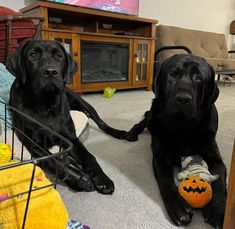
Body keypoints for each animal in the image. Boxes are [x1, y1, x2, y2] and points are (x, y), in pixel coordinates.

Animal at [6, 40, 129, 194]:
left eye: (59, 56)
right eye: (33, 55)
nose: (51, 72)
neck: (45, 103)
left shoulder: (71, 137)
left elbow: (89, 157)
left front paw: (102, 178)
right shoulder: (33, 142)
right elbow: (54, 161)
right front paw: (81, 179)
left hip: (83, 103)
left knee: (102, 123)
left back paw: (121, 133)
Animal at [127, 54, 227, 229]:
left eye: (198, 77)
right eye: (173, 74)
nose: (182, 99)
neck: (182, 126)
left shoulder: (214, 154)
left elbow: (220, 177)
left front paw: (219, 209)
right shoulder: (160, 155)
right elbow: (165, 179)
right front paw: (178, 207)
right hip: (151, 116)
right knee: (142, 121)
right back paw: (132, 133)